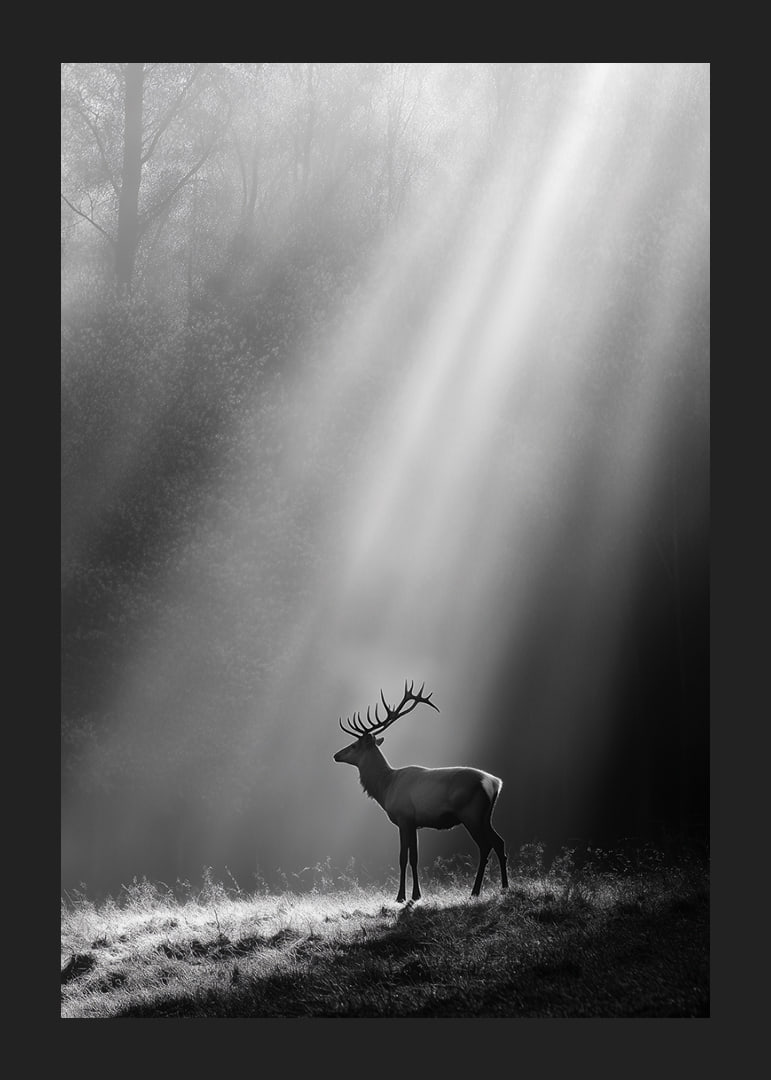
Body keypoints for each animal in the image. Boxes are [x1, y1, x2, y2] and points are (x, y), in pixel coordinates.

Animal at [333, 680, 508, 902]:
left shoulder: (403, 817)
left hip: (471, 814)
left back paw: (475, 892)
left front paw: (401, 896)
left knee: (485, 846)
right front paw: (416, 895)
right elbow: (415, 858)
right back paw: (504, 887)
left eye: (354, 745)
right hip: (486, 816)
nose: (336, 755)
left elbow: (403, 858)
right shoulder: (415, 823)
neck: (386, 787)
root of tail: (495, 782)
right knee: (499, 842)